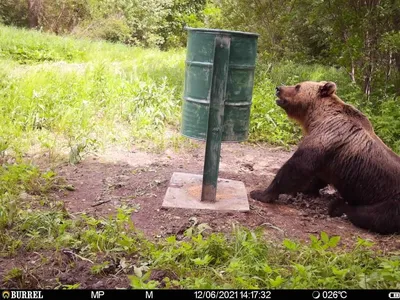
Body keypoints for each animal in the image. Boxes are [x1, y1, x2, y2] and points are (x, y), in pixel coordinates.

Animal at [250, 81, 400, 236]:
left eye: (298, 86)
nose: (279, 88)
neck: (315, 117)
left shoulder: (326, 137)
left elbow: (296, 168)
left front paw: (260, 193)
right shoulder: (327, 158)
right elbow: (316, 176)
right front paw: (305, 189)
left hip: (389, 199)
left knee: (373, 216)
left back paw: (338, 206)